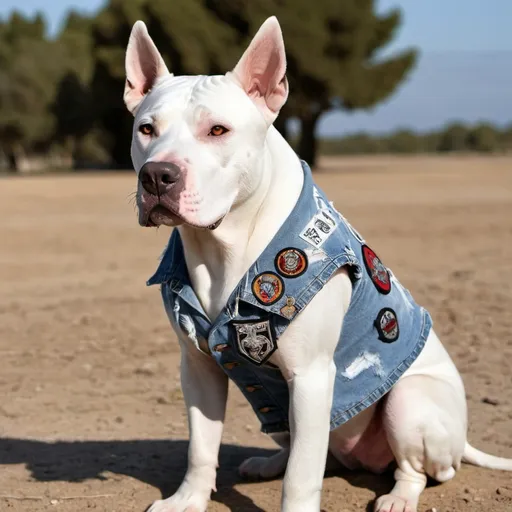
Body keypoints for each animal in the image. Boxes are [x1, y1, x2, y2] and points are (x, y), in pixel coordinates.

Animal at [122, 16, 510, 512]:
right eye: (146, 129)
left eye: (218, 130)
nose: (157, 175)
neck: (222, 245)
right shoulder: (199, 365)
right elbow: (201, 447)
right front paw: (187, 499)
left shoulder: (309, 376)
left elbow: (301, 477)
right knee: (307, 452)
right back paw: (268, 463)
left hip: (409, 403)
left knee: (415, 469)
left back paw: (398, 497)